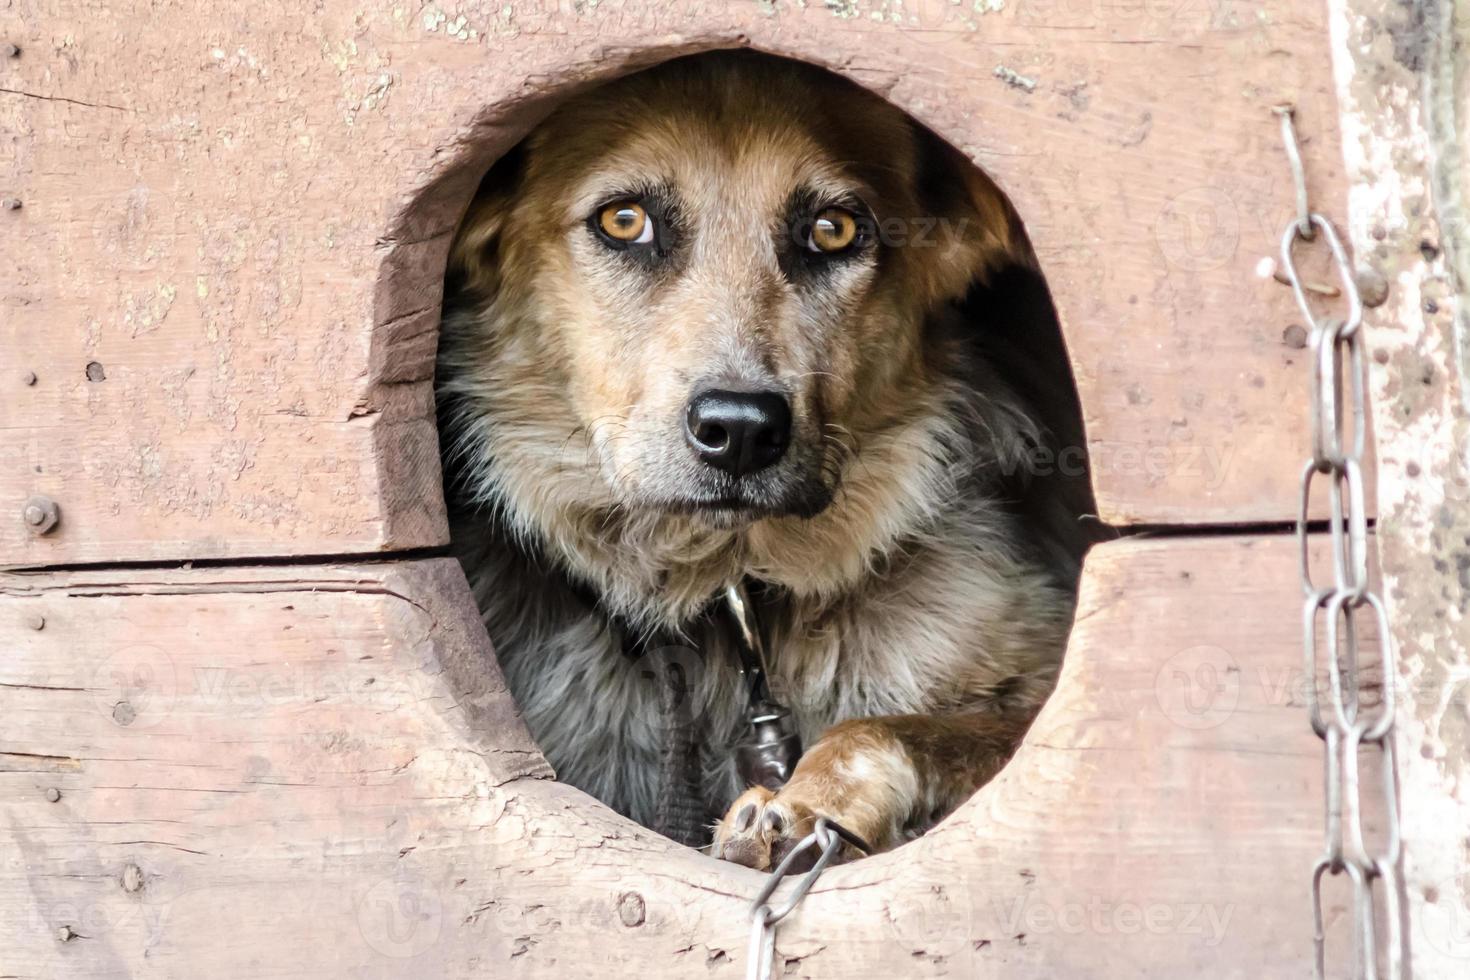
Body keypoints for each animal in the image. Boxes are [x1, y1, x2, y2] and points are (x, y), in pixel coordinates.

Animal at [435, 49, 1093, 869]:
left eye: (835, 230)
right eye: (624, 221)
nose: (741, 429)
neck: (728, 592)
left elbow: (890, 730)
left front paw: (803, 807)